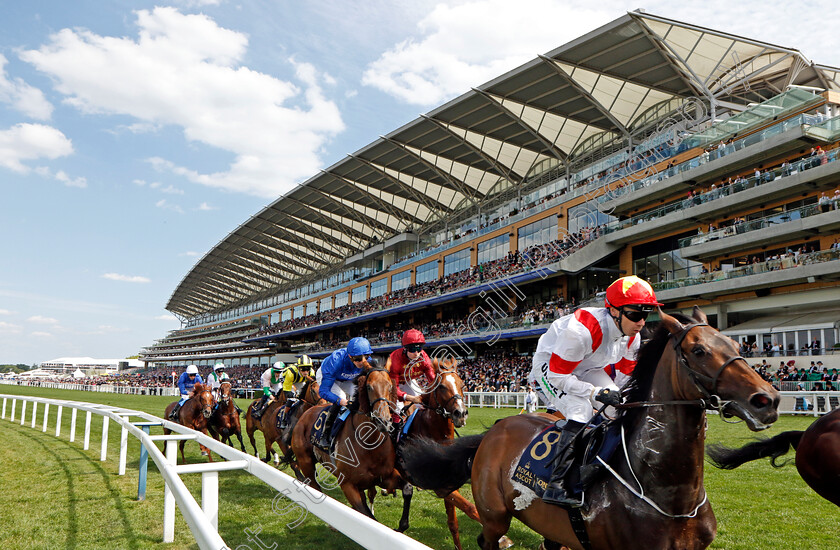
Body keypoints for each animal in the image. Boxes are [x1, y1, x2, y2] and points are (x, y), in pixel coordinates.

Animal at [288, 364, 414, 532]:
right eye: (369, 387)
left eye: (390, 386)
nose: (384, 421)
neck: (369, 444)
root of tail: (306, 414)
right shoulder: (348, 486)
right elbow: (368, 517)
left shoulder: (384, 477)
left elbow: (407, 489)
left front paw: (400, 527)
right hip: (306, 463)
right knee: (315, 486)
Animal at [400, 310, 780, 550]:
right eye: (699, 350)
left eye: (737, 346)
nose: (768, 400)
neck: (667, 493)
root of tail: (495, 430)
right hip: (495, 517)